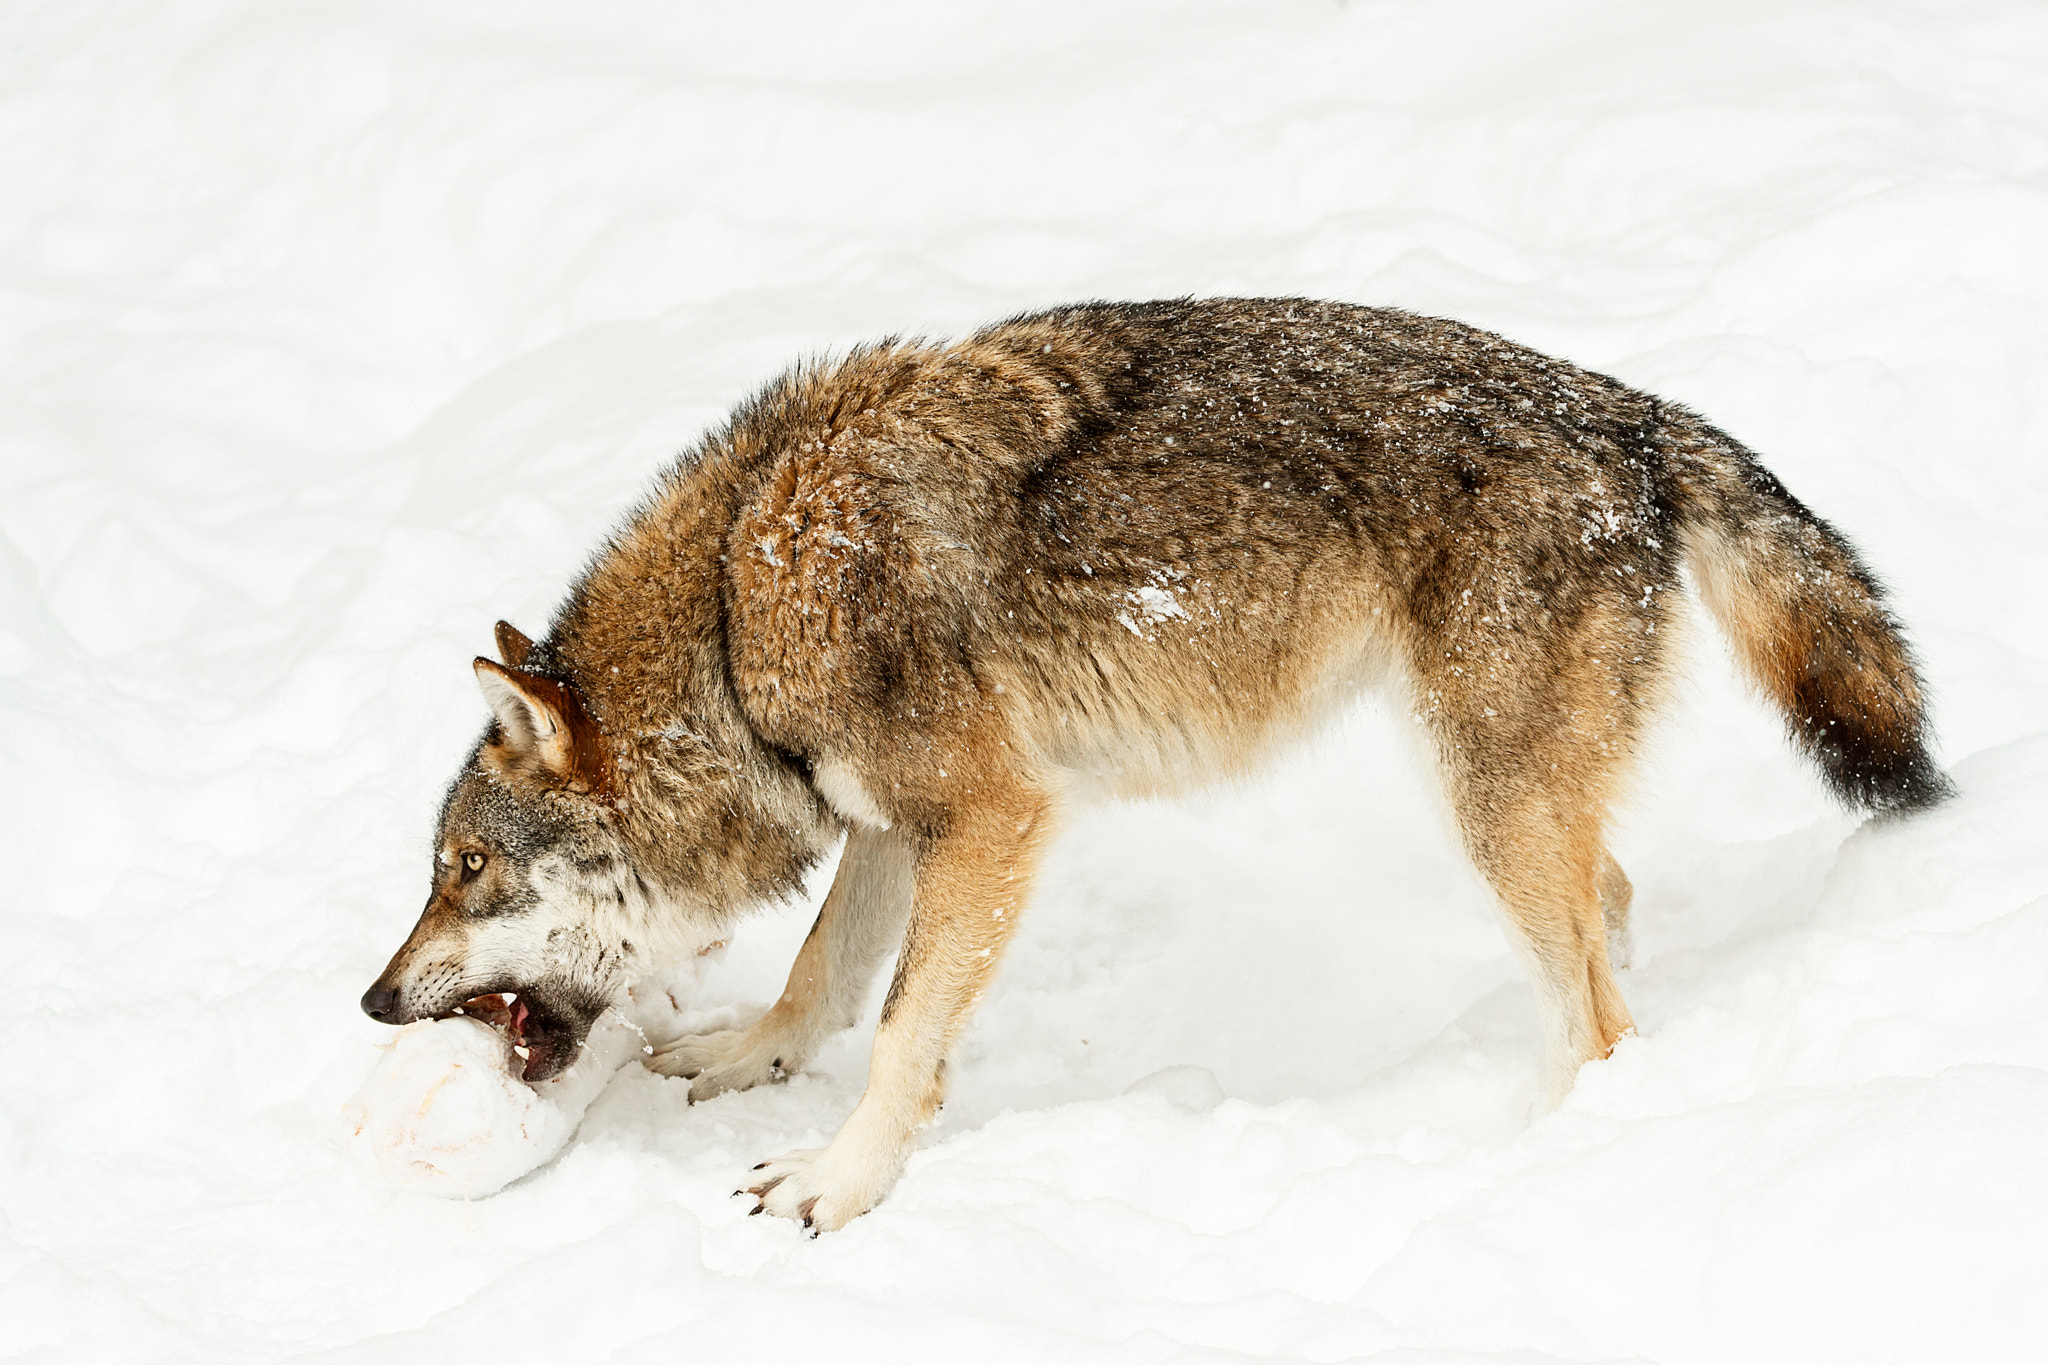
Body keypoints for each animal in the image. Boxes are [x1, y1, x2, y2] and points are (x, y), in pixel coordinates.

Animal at [360, 297, 1950, 1230]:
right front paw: (753, 1058)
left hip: (1484, 800)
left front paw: (839, 1183)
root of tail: (1631, 414)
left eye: (465, 869)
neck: (738, 611)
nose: (373, 1002)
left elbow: (901, 1031)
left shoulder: (993, 817)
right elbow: (823, 974)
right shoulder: (893, 821)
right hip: (1504, 800)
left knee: (1605, 1010)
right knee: (1609, 915)